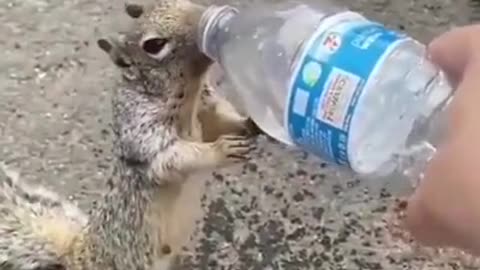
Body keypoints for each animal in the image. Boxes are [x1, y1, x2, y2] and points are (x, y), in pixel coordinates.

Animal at [0, 0, 260, 270]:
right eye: (154, 45)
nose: (205, 18)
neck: (189, 98)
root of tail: (78, 257)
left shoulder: (207, 109)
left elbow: (221, 121)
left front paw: (251, 124)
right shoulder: (143, 133)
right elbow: (175, 157)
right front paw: (221, 150)